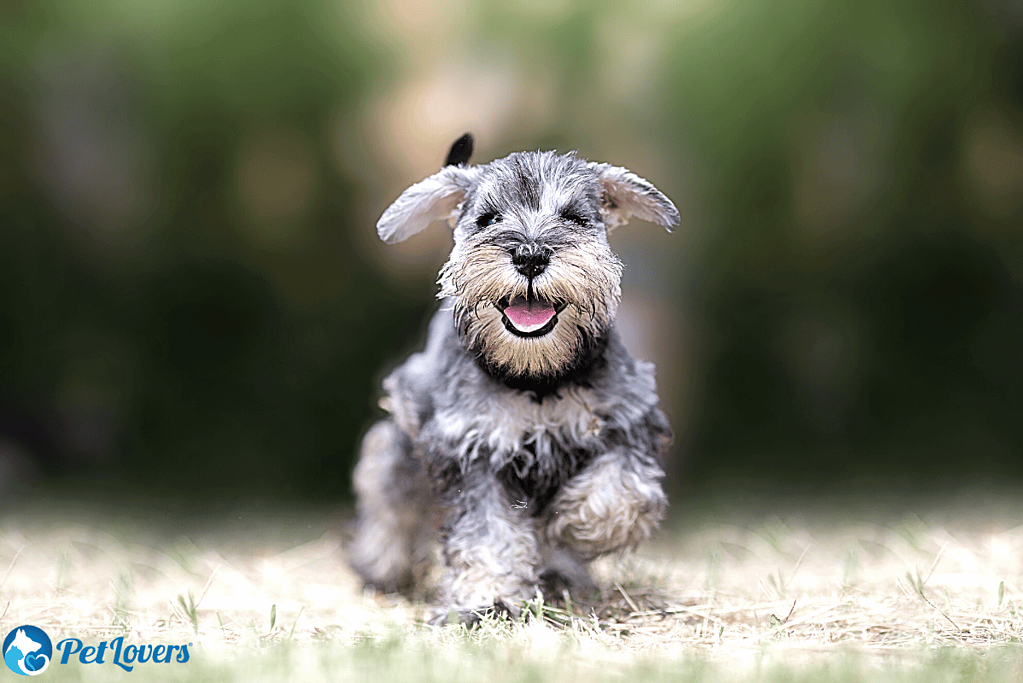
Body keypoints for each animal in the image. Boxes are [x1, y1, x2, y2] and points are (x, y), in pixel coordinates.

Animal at [351, 134, 679, 625]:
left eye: (574, 217)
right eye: (488, 219)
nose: (530, 255)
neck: (536, 378)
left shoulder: (628, 422)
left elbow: (620, 491)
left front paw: (573, 528)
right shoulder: (472, 450)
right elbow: (487, 534)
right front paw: (487, 598)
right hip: (402, 443)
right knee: (389, 494)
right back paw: (380, 565)